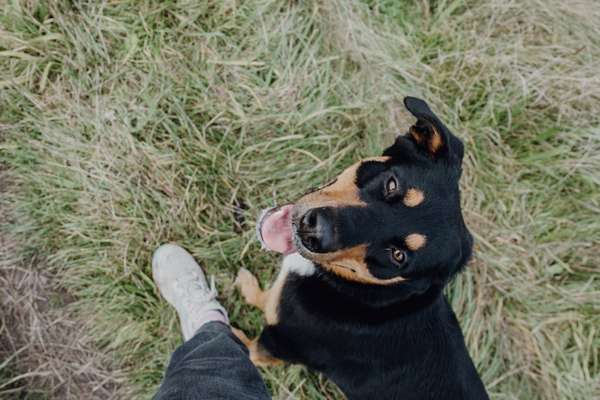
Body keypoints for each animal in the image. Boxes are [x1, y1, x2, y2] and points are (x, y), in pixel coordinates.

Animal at [232, 97, 490, 400]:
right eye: (392, 184)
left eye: (398, 256)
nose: (313, 231)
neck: (356, 292)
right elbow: (268, 297)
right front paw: (249, 286)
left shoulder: (276, 345)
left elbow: (242, 346)